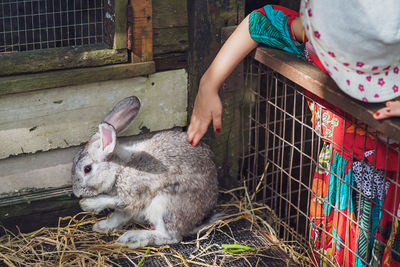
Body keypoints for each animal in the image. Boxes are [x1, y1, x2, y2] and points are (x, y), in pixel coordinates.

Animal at [70, 96, 217, 249]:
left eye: (87, 169)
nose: (77, 193)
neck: (121, 168)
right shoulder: (126, 208)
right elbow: (118, 215)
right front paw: (102, 226)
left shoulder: (133, 195)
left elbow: (112, 201)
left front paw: (88, 204)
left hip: (165, 204)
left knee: (170, 236)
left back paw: (131, 238)